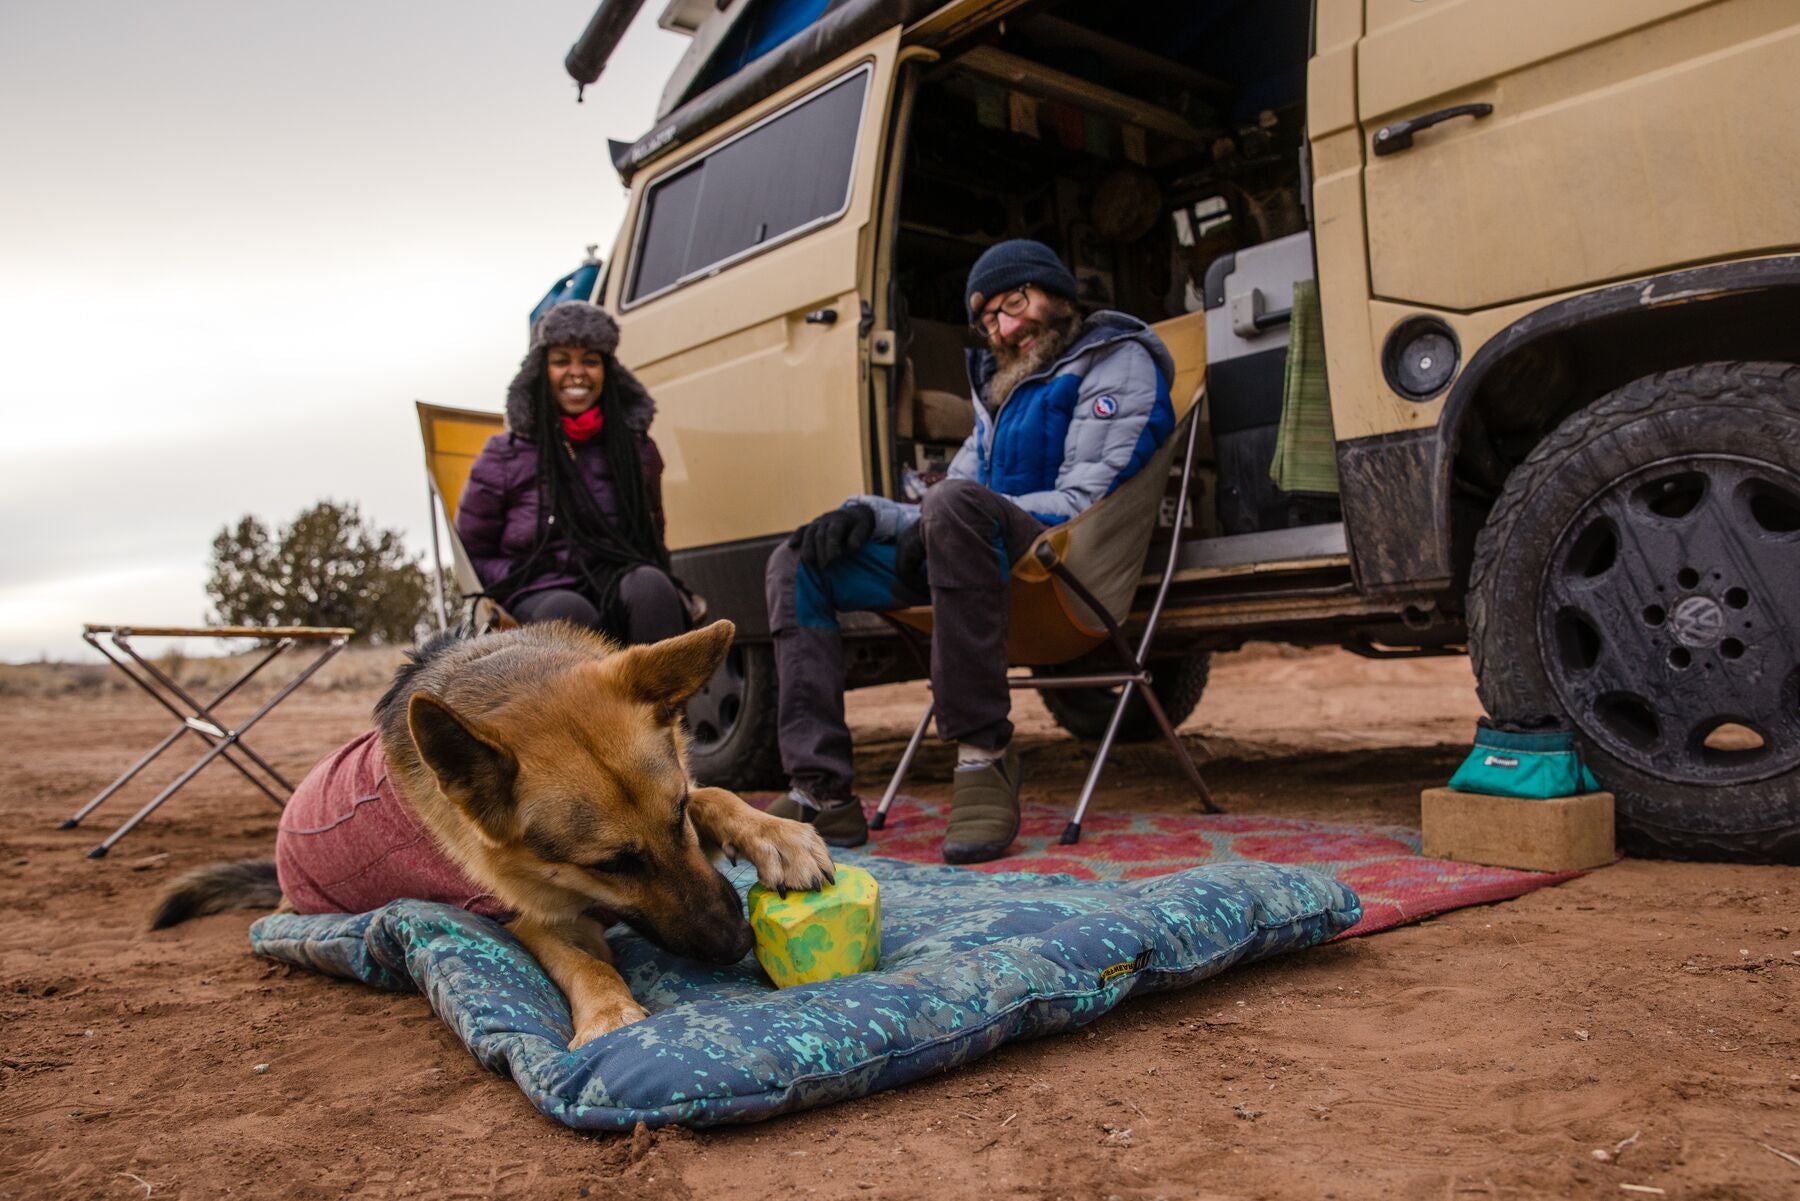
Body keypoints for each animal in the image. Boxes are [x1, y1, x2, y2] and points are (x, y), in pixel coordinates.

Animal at [154, 626, 835, 1044]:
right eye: (612, 865)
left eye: (677, 817)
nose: (736, 943)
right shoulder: (527, 917)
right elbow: (584, 963)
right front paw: (609, 1012)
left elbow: (716, 794)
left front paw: (779, 835)